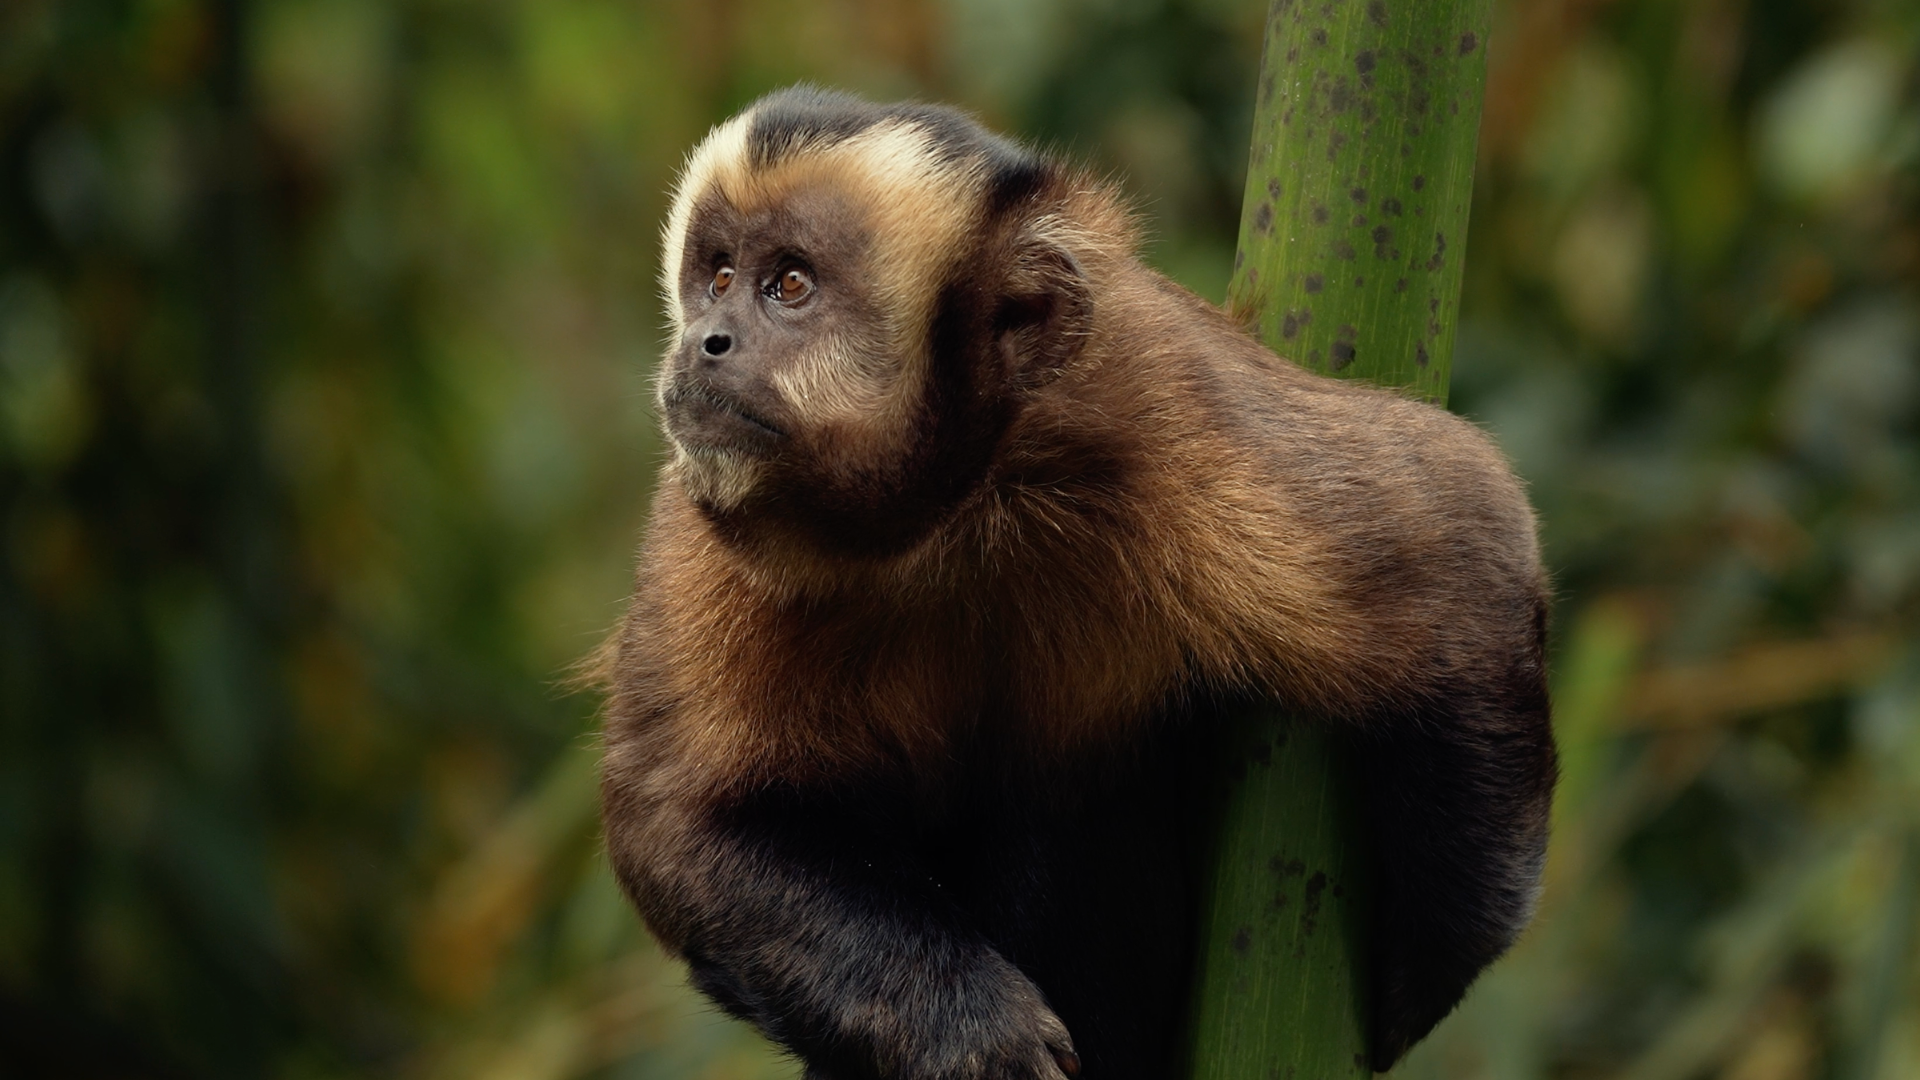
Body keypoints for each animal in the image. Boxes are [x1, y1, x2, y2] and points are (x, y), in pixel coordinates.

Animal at [597, 86, 1555, 1080]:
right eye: (717, 279)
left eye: (789, 286)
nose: (706, 342)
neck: (960, 511)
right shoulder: (707, 527)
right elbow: (679, 824)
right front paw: (964, 1026)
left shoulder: (1164, 399)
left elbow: (1464, 547)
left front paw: (1415, 976)